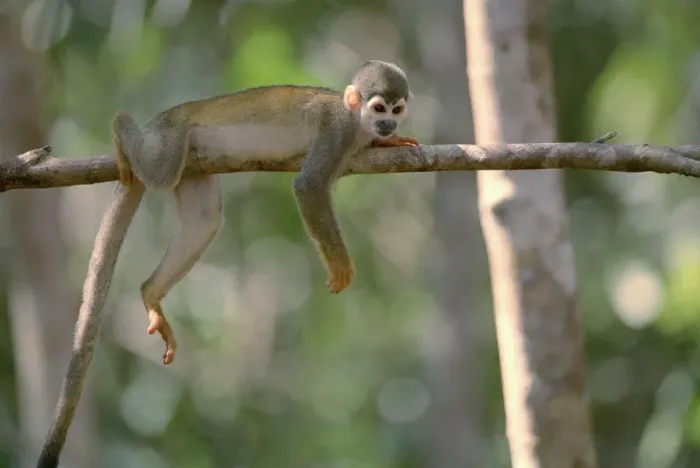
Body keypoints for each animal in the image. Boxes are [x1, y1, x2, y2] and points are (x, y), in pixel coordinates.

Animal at [36, 60, 418, 468]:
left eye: (396, 110)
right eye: (378, 108)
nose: (387, 125)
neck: (356, 124)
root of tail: (157, 123)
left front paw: (390, 143)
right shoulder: (336, 131)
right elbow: (309, 186)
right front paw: (340, 264)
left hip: (194, 164)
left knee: (204, 219)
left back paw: (151, 292)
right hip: (169, 135)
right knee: (161, 173)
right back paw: (121, 130)